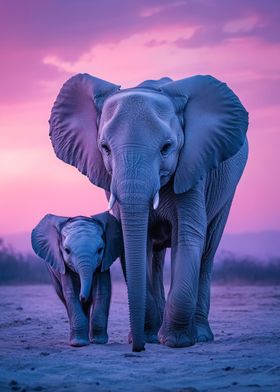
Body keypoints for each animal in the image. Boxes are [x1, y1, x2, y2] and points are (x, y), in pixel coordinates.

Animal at [31, 211, 122, 346]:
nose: (82, 297)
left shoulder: (104, 260)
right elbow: (71, 292)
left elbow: (102, 291)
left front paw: (99, 342)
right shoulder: (62, 264)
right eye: (67, 250)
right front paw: (78, 344)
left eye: (100, 250)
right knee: (64, 297)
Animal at [49, 74, 248, 352]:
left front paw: (176, 342)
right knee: (155, 255)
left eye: (166, 148)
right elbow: (130, 240)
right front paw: (150, 338)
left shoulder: (193, 168)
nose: (138, 349)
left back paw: (200, 335)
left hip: (227, 189)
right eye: (104, 148)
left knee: (208, 250)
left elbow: (188, 236)